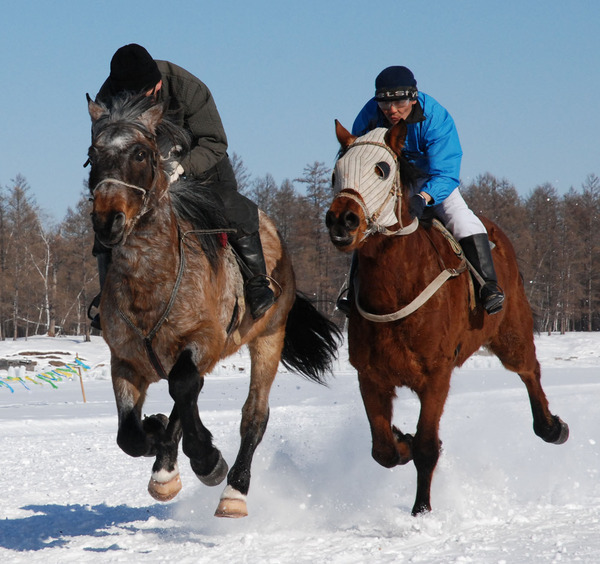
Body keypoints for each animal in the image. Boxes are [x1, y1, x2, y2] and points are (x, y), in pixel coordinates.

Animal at [84, 93, 340, 520]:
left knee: (252, 415)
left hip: (268, 336)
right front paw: (157, 436)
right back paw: (165, 466)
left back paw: (233, 490)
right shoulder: (125, 361)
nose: (107, 221)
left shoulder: (205, 340)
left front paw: (206, 459)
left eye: (140, 153)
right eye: (92, 155)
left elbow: (183, 387)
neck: (149, 283)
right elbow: (130, 435)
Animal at [326, 121, 568, 516]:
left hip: (511, 330)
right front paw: (401, 439)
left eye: (382, 168)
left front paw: (421, 509)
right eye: (335, 172)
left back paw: (551, 427)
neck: (396, 289)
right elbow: (383, 450)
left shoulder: (436, 374)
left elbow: (427, 446)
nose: (342, 220)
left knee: (529, 370)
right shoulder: (371, 375)